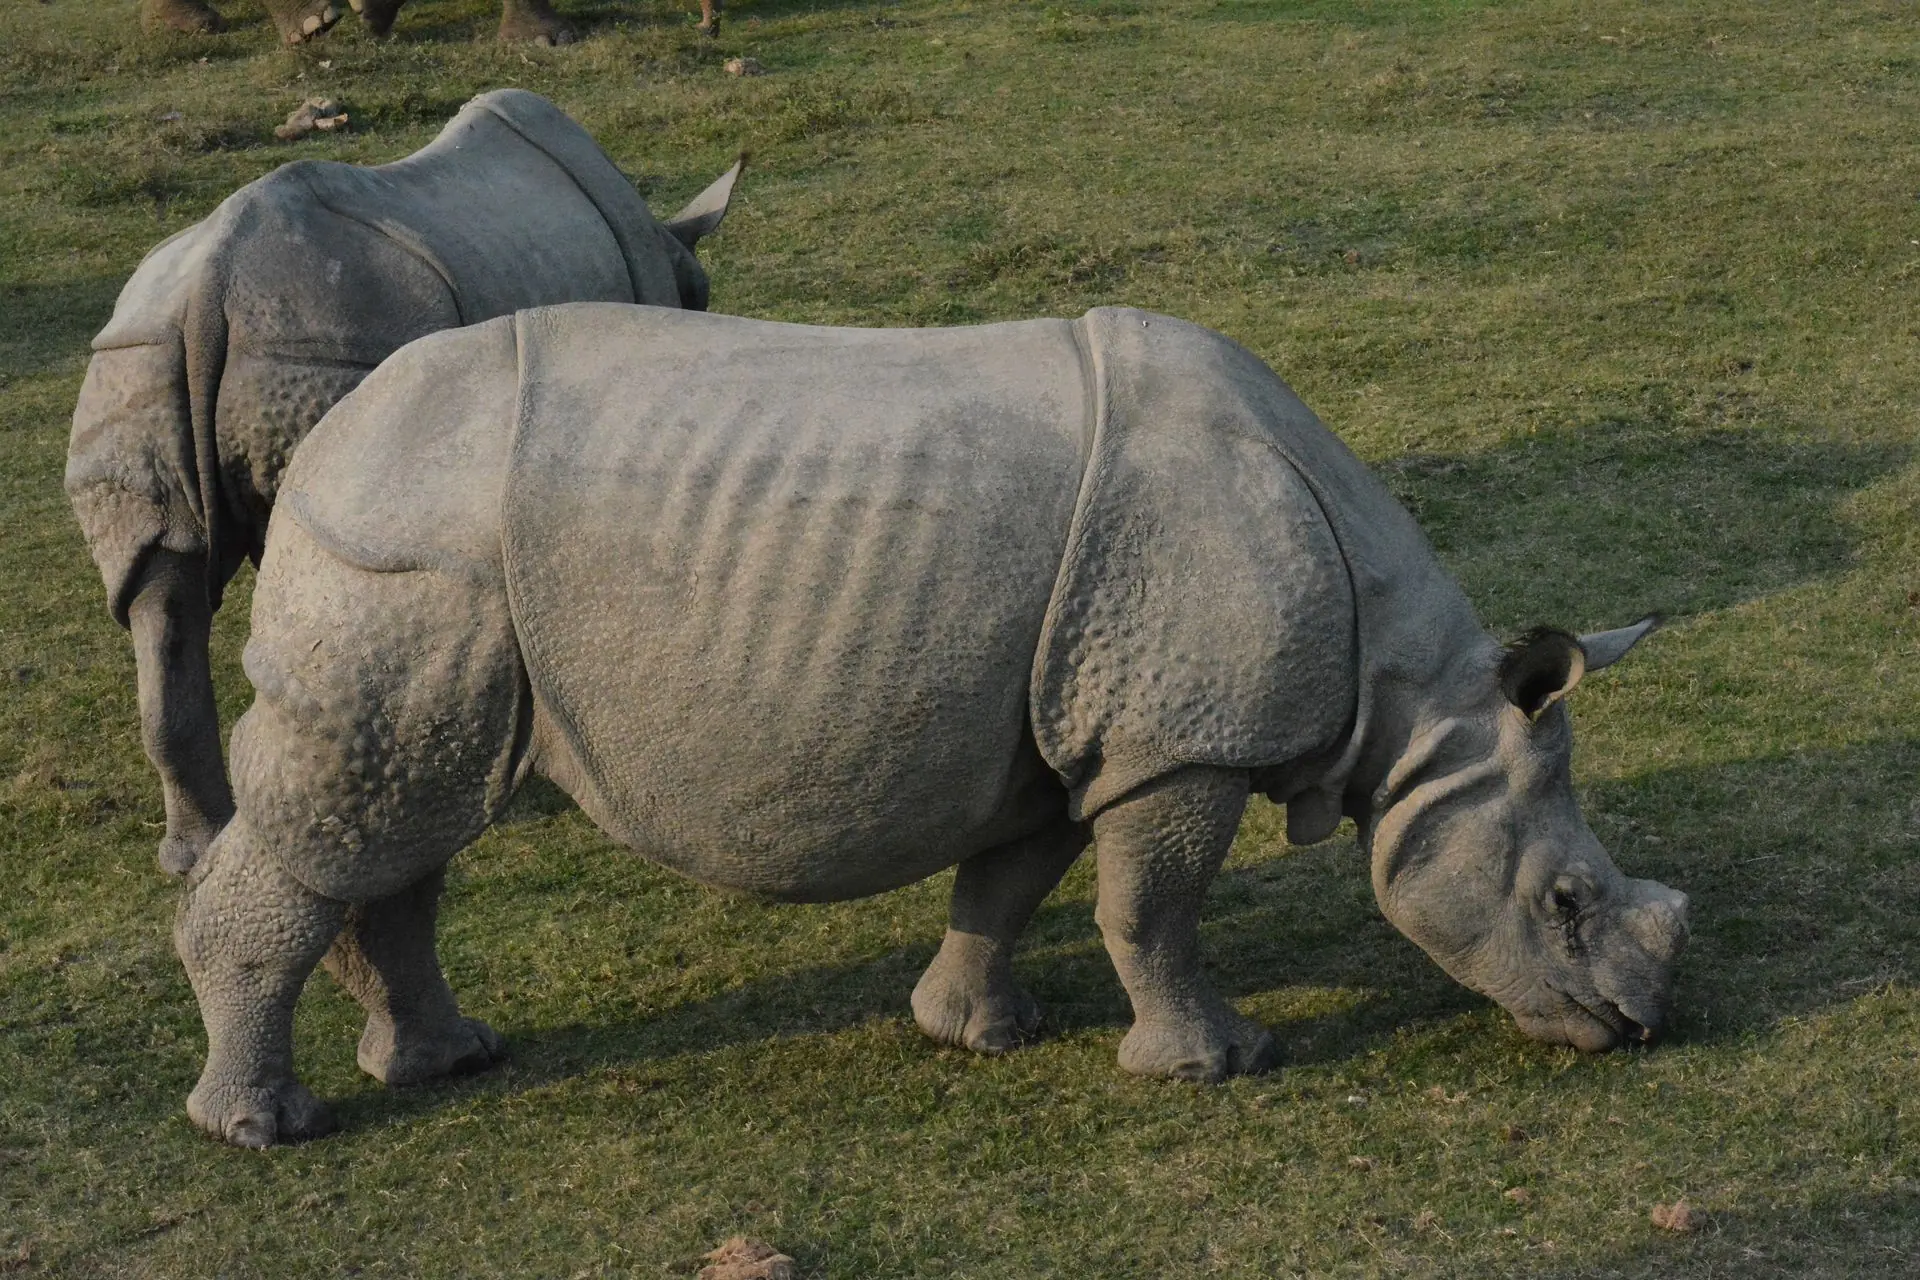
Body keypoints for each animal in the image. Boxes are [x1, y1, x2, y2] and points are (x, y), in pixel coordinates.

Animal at [174, 303, 1690, 1147]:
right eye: (1564, 902)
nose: (1638, 1030)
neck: (1417, 707)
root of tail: (324, 441)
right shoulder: (1178, 745)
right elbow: (1153, 907)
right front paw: (1219, 1064)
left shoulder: (1062, 729)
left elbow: (1010, 883)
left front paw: (975, 1033)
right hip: (404, 549)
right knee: (361, 820)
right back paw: (267, 1131)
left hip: (428, 560)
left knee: (404, 818)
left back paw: (447, 1061)